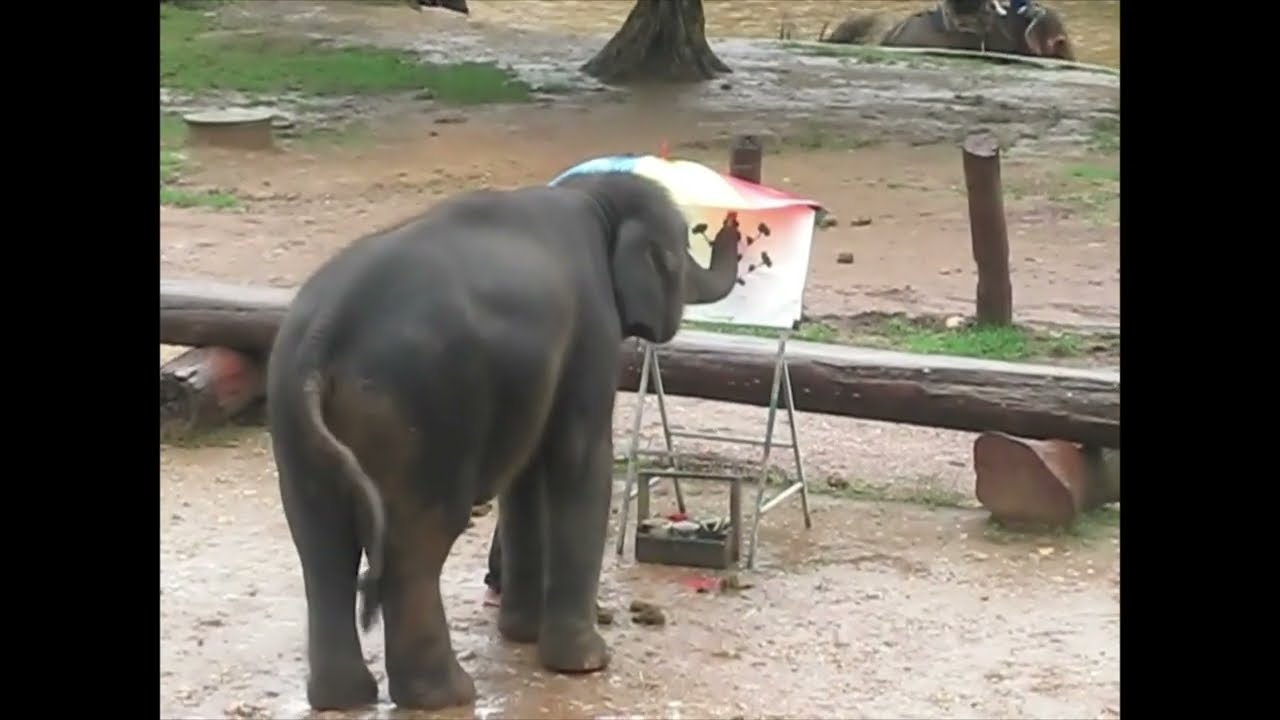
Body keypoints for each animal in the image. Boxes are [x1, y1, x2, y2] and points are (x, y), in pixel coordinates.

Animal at [265, 171, 740, 711]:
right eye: (681, 250)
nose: (730, 224)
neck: (593, 196)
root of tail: (325, 332)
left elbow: (526, 478)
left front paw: (520, 634)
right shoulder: (591, 329)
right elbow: (579, 457)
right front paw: (586, 664)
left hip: (290, 412)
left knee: (320, 545)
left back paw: (344, 699)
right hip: (426, 409)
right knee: (417, 541)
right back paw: (445, 695)